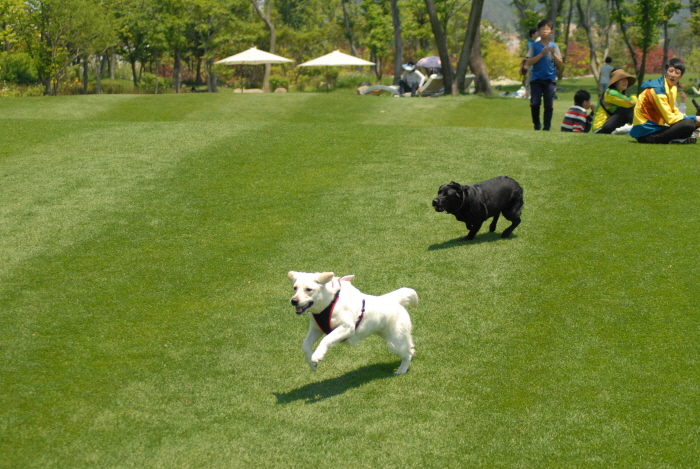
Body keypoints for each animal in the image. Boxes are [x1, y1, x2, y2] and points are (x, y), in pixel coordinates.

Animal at [288, 270, 418, 372]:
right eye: (295, 288)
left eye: (308, 289)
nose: (293, 301)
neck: (328, 303)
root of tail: (394, 299)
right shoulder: (316, 329)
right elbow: (305, 345)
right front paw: (312, 364)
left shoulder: (347, 327)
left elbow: (326, 339)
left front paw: (317, 355)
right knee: (411, 348)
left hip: (395, 342)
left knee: (408, 354)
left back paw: (401, 370)